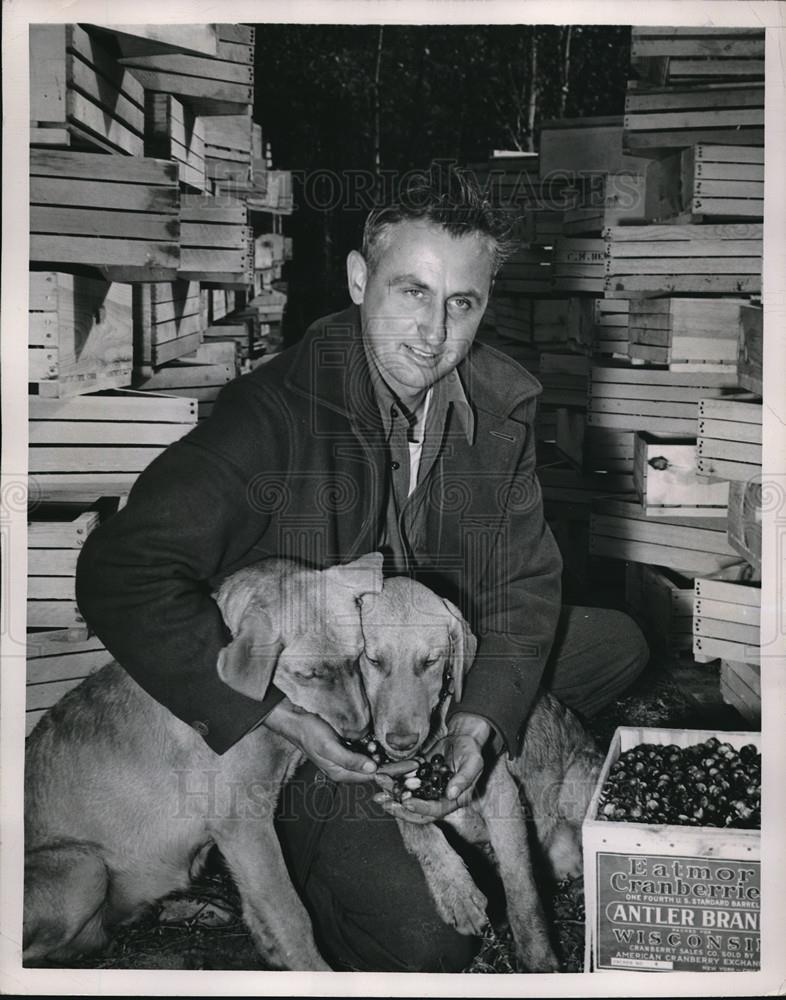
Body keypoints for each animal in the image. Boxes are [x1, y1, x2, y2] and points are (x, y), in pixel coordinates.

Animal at [22, 556, 382, 968]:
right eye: (309, 674)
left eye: (358, 658)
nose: (361, 731)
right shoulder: (244, 823)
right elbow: (290, 913)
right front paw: (310, 966)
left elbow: (262, 908)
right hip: (83, 870)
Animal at [356, 576, 600, 972]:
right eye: (373, 660)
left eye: (430, 661)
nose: (401, 741)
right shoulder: (388, 784)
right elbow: (417, 829)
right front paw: (455, 891)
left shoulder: (502, 797)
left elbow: (521, 888)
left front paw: (539, 958)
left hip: (575, 790)